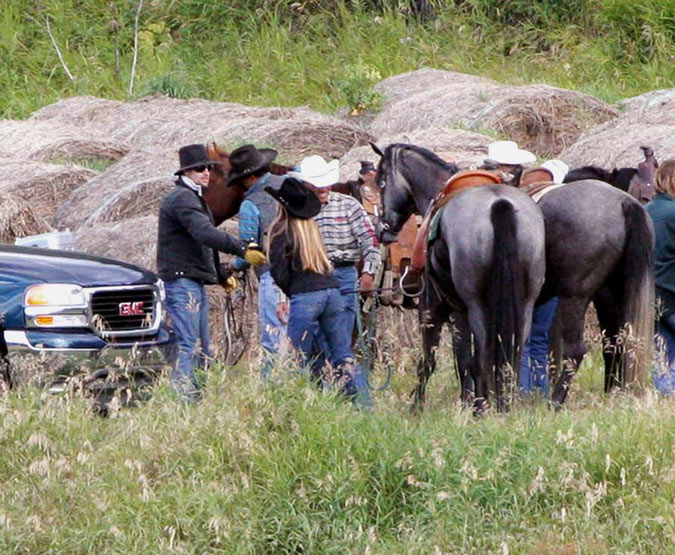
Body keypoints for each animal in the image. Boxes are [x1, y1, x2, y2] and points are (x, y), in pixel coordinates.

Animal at [372, 143, 548, 412]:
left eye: (381, 182)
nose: (383, 228)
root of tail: (500, 205)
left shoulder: (437, 308)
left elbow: (438, 359)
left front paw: (418, 405)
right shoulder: (459, 311)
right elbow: (464, 360)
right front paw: (466, 400)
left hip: (476, 306)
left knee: (483, 352)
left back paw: (482, 407)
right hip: (524, 305)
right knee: (514, 353)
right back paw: (505, 403)